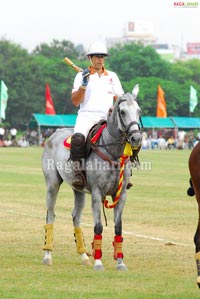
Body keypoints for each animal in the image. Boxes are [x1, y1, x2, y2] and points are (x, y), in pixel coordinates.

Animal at [41, 84, 142, 272]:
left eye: (139, 111)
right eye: (122, 111)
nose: (136, 138)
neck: (113, 152)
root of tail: (54, 133)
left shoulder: (121, 194)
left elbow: (118, 227)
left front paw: (120, 262)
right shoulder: (97, 192)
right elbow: (98, 226)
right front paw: (98, 262)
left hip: (78, 189)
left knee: (76, 217)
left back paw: (84, 256)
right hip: (52, 184)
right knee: (50, 215)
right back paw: (47, 256)